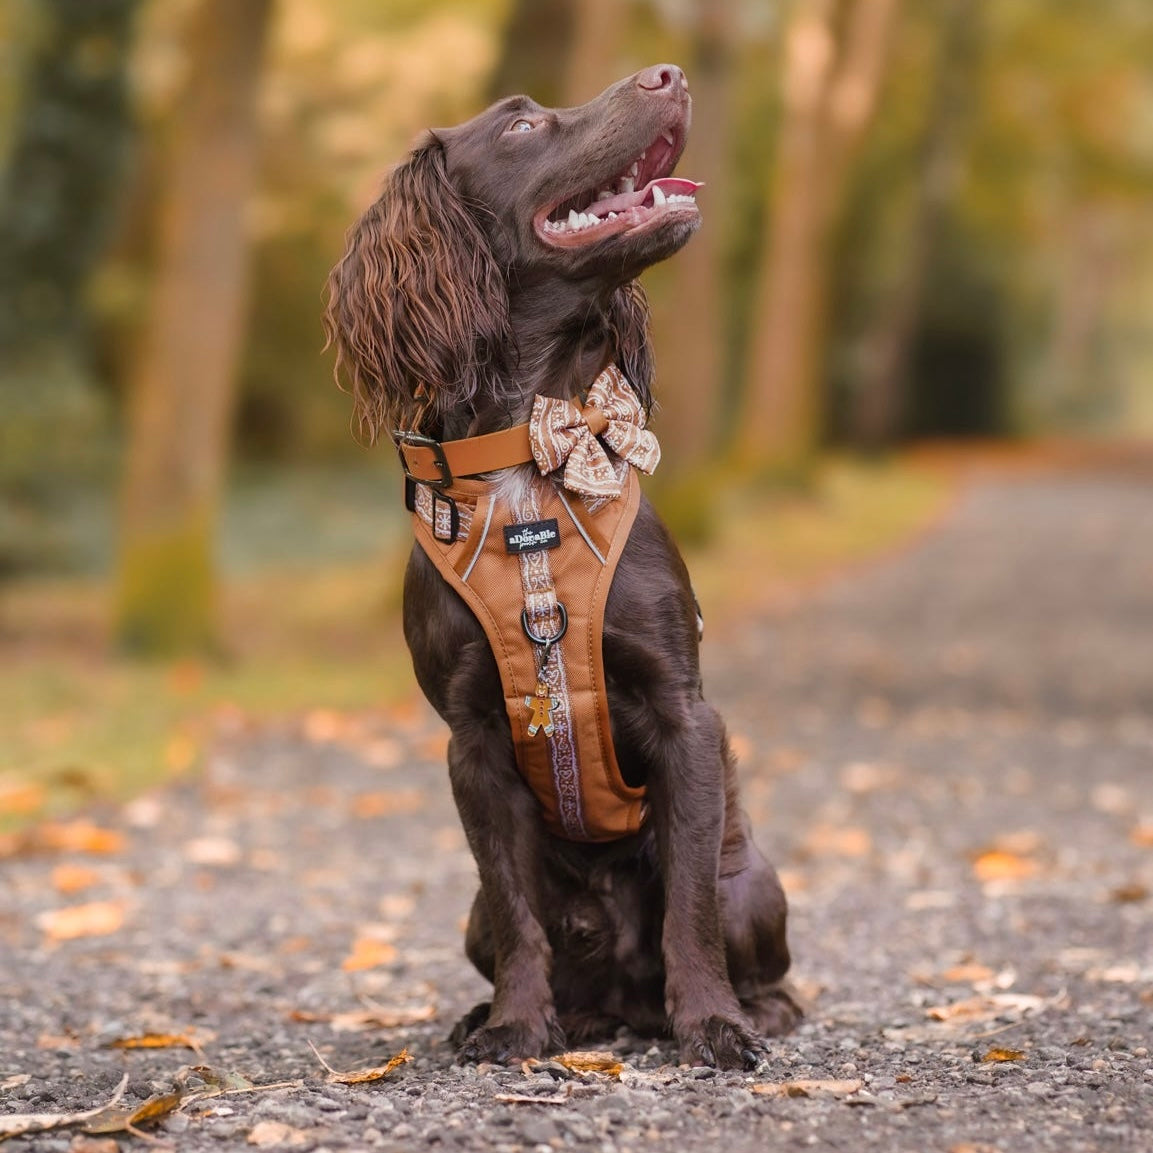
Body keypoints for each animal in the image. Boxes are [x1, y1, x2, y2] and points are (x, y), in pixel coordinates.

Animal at [320, 63, 797, 1069]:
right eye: (521, 127)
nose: (668, 72)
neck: (530, 455)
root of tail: (623, 1001)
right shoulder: (471, 740)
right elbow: (515, 909)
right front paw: (514, 1025)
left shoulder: (681, 713)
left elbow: (687, 905)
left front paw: (714, 1025)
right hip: (469, 915)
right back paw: (535, 1014)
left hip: (757, 882)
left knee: (740, 934)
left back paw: (752, 1009)